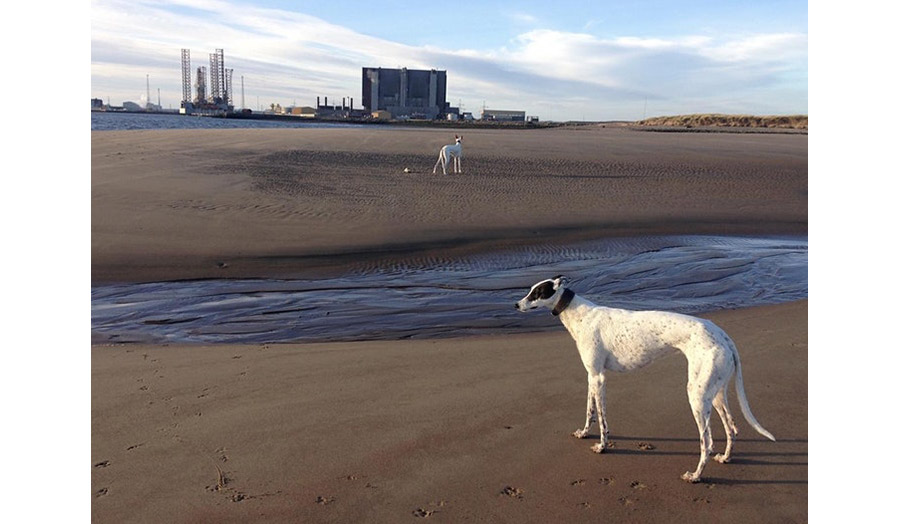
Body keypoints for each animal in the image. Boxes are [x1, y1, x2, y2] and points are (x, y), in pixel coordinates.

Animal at [516, 274, 776, 484]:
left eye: (536, 292)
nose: (516, 304)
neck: (580, 314)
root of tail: (723, 335)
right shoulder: (591, 375)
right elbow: (590, 410)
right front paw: (583, 432)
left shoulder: (599, 378)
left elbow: (602, 419)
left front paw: (602, 446)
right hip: (715, 392)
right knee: (732, 427)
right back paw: (725, 458)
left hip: (697, 395)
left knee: (707, 442)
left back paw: (695, 476)